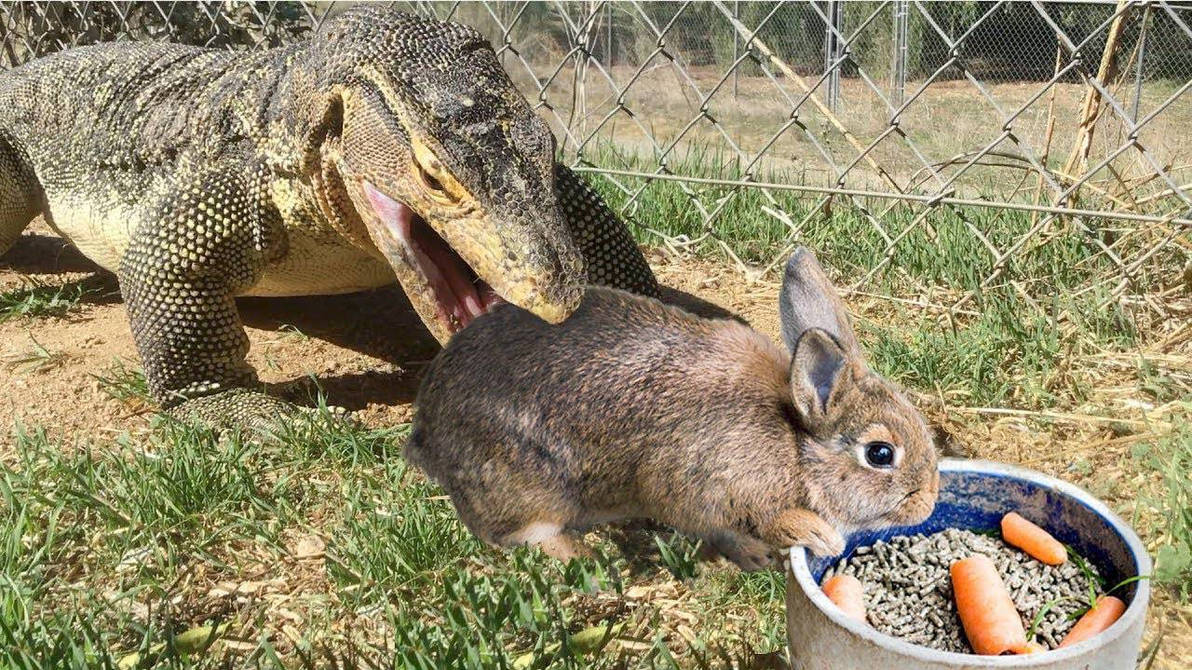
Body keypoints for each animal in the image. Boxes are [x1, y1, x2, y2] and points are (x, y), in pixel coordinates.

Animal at [407, 248, 939, 570]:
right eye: (880, 454)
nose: (928, 503)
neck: (793, 439)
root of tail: (425, 436)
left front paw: (760, 557)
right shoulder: (701, 486)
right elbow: (742, 521)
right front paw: (812, 536)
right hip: (528, 488)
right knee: (524, 534)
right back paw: (584, 558)